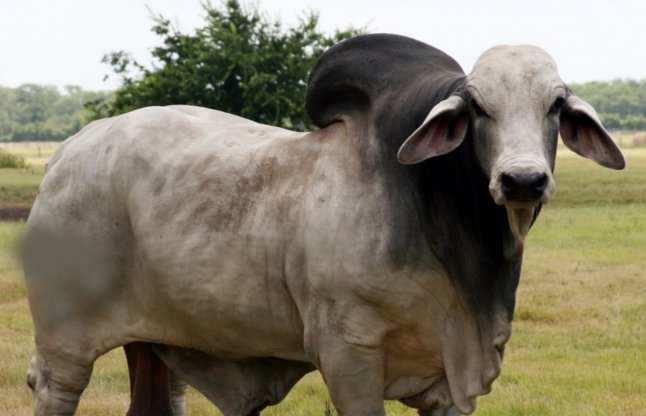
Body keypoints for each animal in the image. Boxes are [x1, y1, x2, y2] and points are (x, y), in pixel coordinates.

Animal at [22, 33, 624, 415]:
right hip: (64, 341)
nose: (522, 180)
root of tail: (69, 149)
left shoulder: (452, 380)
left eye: (556, 104)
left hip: (155, 342)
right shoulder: (349, 356)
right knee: (56, 389)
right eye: (476, 106)